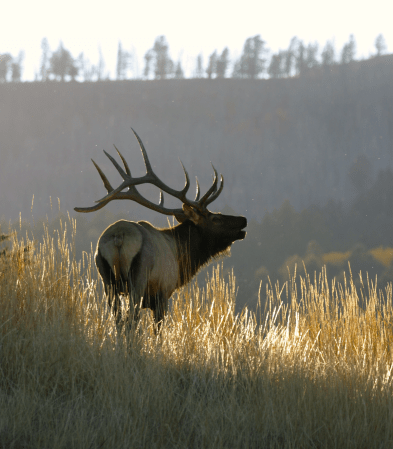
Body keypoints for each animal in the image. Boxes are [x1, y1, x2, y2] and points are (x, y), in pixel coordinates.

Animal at [74, 129, 245, 326]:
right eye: (215, 218)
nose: (244, 220)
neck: (181, 258)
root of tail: (119, 236)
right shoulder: (163, 293)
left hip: (106, 278)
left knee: (118, 320)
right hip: (138, 278)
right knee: (131, 320)